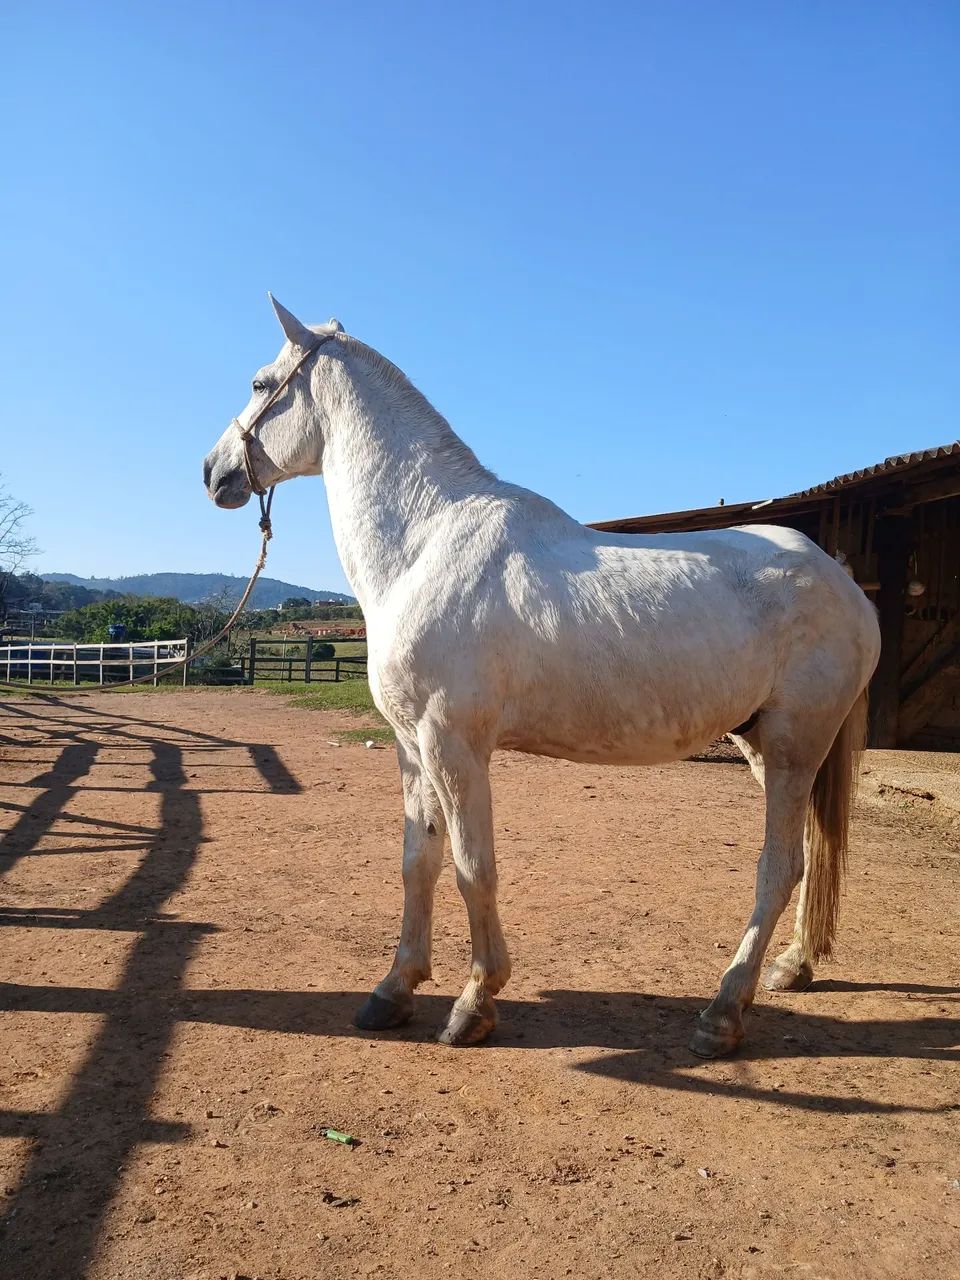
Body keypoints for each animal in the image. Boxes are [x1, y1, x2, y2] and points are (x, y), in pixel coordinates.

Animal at [203, 296, 880, 1057]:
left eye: (261, 384)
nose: (213, 472)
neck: (424, 542)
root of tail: (844, 583)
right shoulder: (412, 748)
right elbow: (418, 863)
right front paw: (394, 989)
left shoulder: (453, 745)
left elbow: (472, 868)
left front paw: (474, 1003)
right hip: (762, 744)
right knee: (808, 856)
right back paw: (792, 966)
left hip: (795, 746)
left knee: (779, 867)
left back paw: (723, 1012)